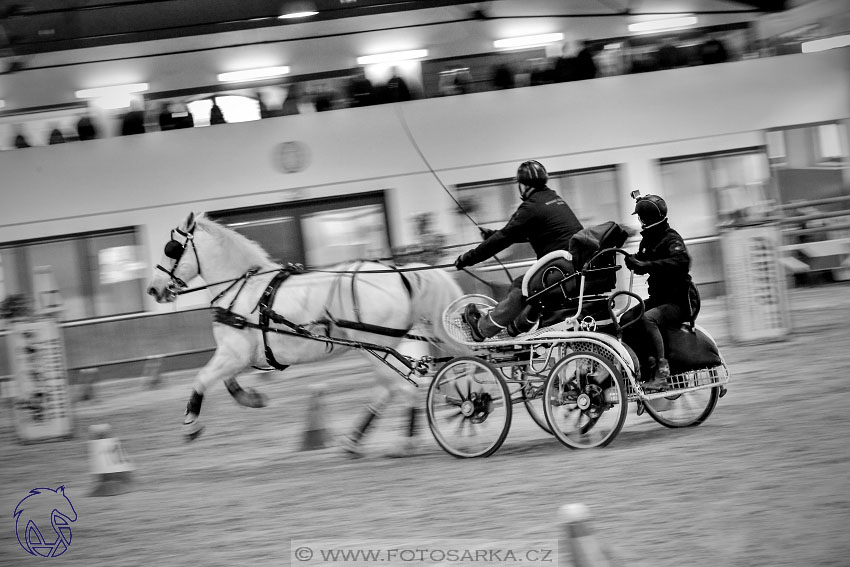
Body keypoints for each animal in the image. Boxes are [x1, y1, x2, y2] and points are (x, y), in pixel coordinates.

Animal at [144, 213, 464, 458]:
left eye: (172, 248)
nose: (154, 289)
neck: (244, 288)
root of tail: (398, 272)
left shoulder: (233, 352)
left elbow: (201, 378)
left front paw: (191, 423)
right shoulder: (241, 354)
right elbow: (227, 381)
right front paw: (253, 398)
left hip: (376, 347)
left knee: (400, 387)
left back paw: (401, 442)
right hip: (396, 343)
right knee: (396, 387)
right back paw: (359, 440)